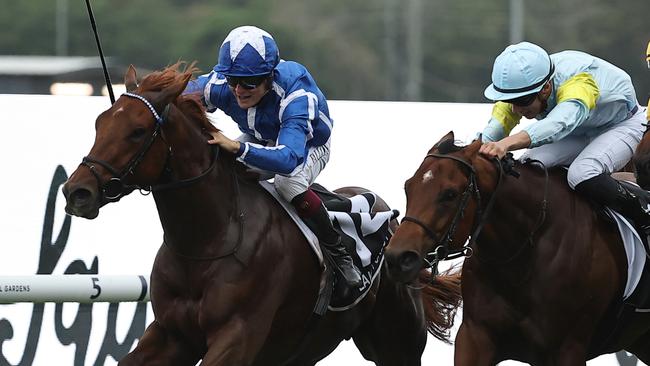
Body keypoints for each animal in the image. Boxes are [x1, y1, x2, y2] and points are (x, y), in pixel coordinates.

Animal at [60, 63, 460, 366]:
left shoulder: (239, 336)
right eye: (100, 123)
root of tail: (391, 219)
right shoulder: (170, 334)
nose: (76, 191)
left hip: (396, 344)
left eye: (137, 131)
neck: (209, 241)